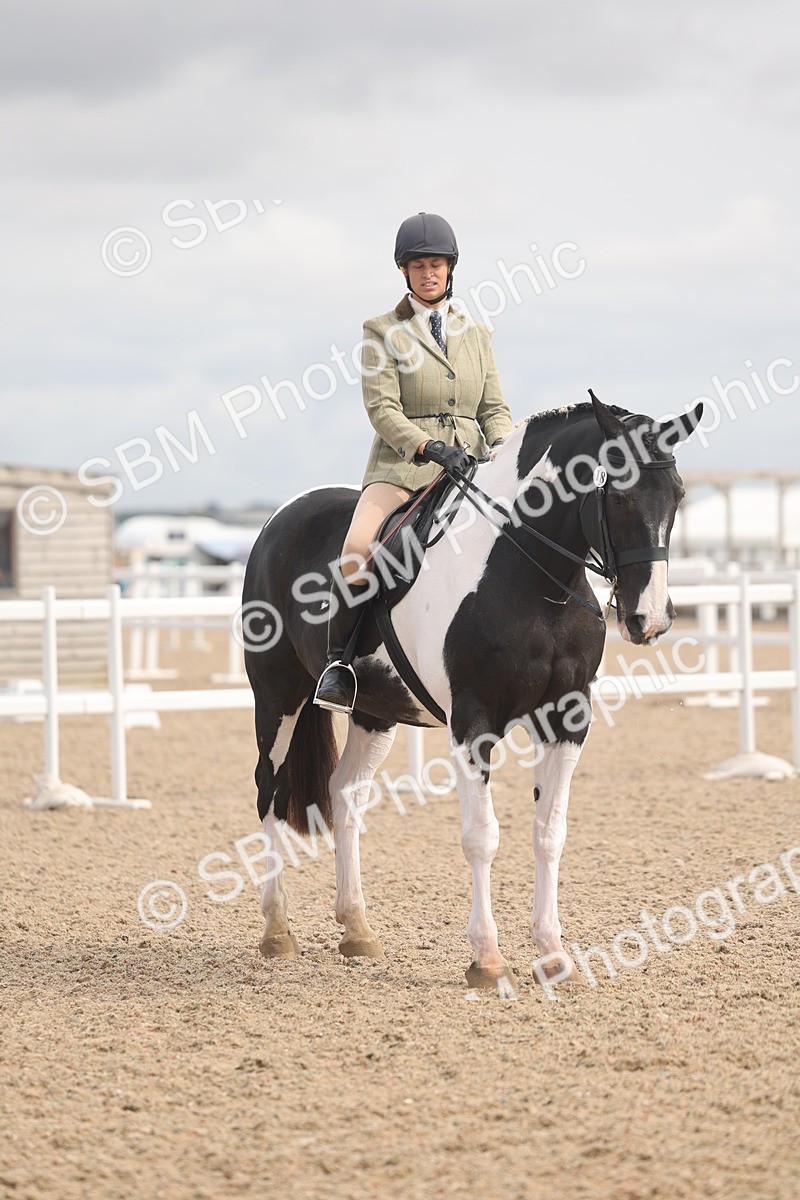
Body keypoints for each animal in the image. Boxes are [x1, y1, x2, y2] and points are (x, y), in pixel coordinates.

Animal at [242, 394, 703, 988]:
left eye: (678, 494)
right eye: (618, 495)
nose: (650, 619)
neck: (532, 577)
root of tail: (281, 517)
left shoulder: (568, 719)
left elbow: (549, 831)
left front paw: (552, 953)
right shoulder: (472, 722)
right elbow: (481, 835)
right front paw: (487, 958)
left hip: (374, 710)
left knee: (346, 793)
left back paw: (357, 929)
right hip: (278, 695)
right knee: (270, 790)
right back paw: (277, 930)